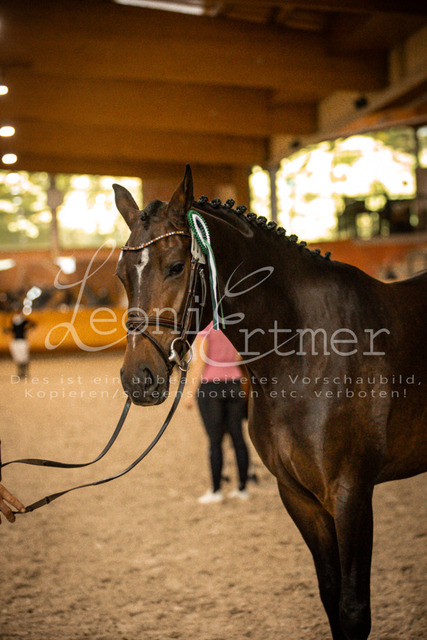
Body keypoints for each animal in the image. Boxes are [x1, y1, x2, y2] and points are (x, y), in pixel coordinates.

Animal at [113, 165, 426, 640]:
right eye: (121, 274)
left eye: (176, 266)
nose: (138, 379)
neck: (307, 346)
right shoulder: (299, 496)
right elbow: (331, 598)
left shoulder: (351, 493)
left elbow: (354, 610)